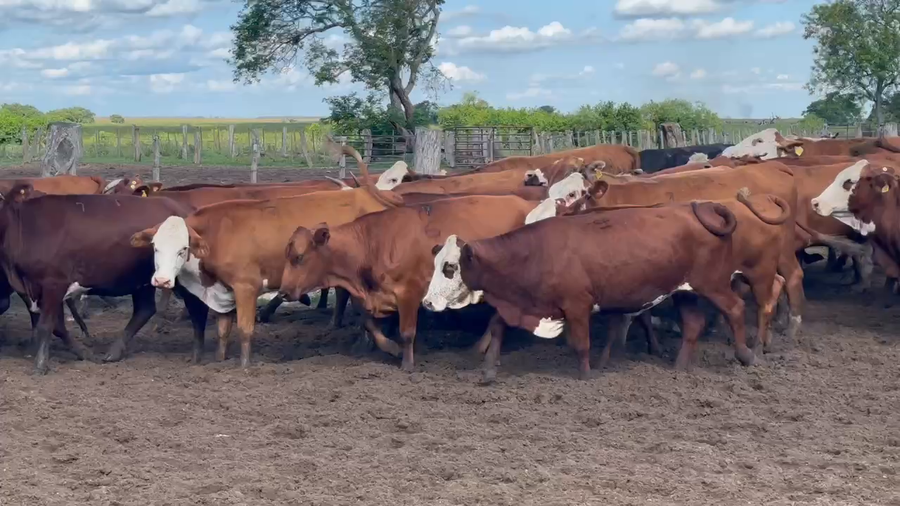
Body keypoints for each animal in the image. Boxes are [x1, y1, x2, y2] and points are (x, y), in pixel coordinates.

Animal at [0, 185, 207, 373]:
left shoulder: (54, 283)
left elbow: (46, 325)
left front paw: (40, 365)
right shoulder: (37, 289)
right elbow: (57, 326)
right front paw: (83, 352)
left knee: (196, 308)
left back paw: (197, 353)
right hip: (142, 280)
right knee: (145, 309)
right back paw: (114, 352)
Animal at [278, 194, 539, 371]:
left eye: (299, 257)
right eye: (287, 255)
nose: (283, 292)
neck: (372, 244)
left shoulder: (409, 293)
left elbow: (406, 332)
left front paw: (406, 363)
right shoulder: (373, 298)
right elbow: (369, 325)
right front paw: (391, 348)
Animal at [423, 201, 751, 381]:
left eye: (449, 267)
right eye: (436, 263)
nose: (427, 303)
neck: (534, 253)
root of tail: (699, 208)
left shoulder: (577, 306)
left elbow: (581, 344)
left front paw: (585, 375)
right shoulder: (523, 301)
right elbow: (497, 325)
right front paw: (489, 370)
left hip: (712, 283)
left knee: (735, 308)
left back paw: (745, 356)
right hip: (685, 290)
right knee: (694, 324)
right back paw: (680, 367)